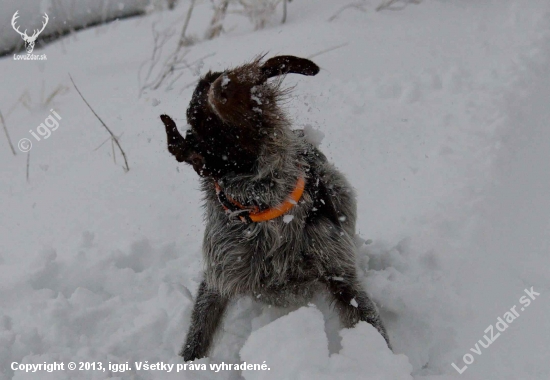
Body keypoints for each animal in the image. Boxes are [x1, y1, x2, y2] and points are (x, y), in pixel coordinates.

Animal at [160, 55, 392, 360]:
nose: (226, 84)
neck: (267, 209)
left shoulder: (340, 275)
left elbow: (368, 321)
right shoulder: (218, 279)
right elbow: (197, 335)